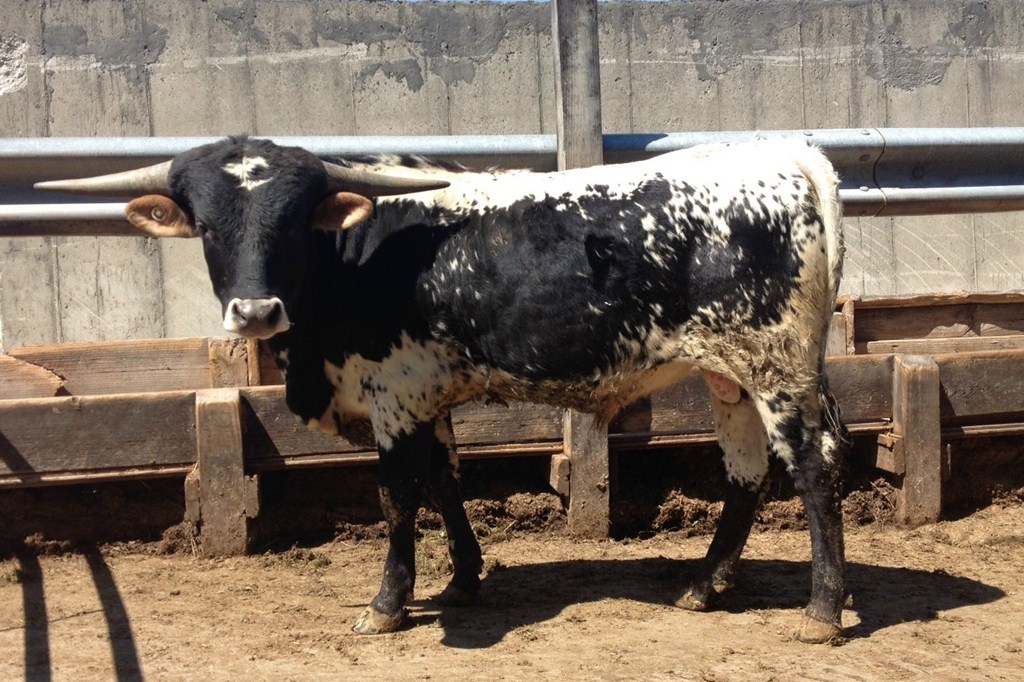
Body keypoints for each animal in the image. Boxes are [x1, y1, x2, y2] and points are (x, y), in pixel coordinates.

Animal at [37, 135, 848, 643]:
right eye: (207, 226)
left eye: (295, 222)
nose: (256, 311)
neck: (357, 259)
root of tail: (784, 152)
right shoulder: (425, 398)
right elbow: (445, 479)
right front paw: (462, 579)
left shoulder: (395, 398)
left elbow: (398, 497)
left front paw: (388, 604)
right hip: (728, 376)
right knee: (745, 474)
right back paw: (705, 586)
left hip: (777, 370)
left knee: (814, 471)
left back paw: (821, 611)